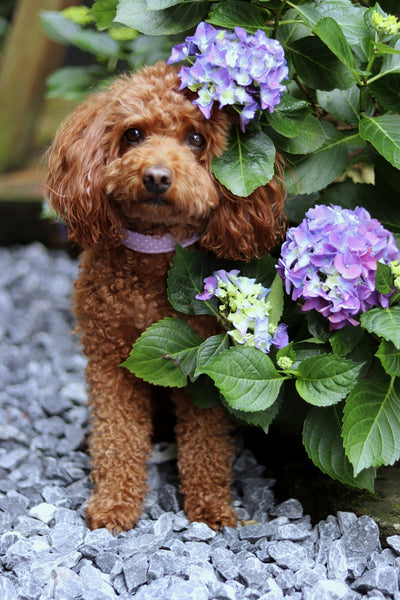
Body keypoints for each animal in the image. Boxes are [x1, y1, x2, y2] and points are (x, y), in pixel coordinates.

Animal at [45, 59, 286, 528]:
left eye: (196, 138)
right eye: (133, 133)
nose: (156, 176)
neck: (155, 254)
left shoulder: (207, 367)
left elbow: (206, 443)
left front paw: (211, 507)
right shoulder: (109, 359)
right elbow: (117, 435)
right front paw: (114, 503)